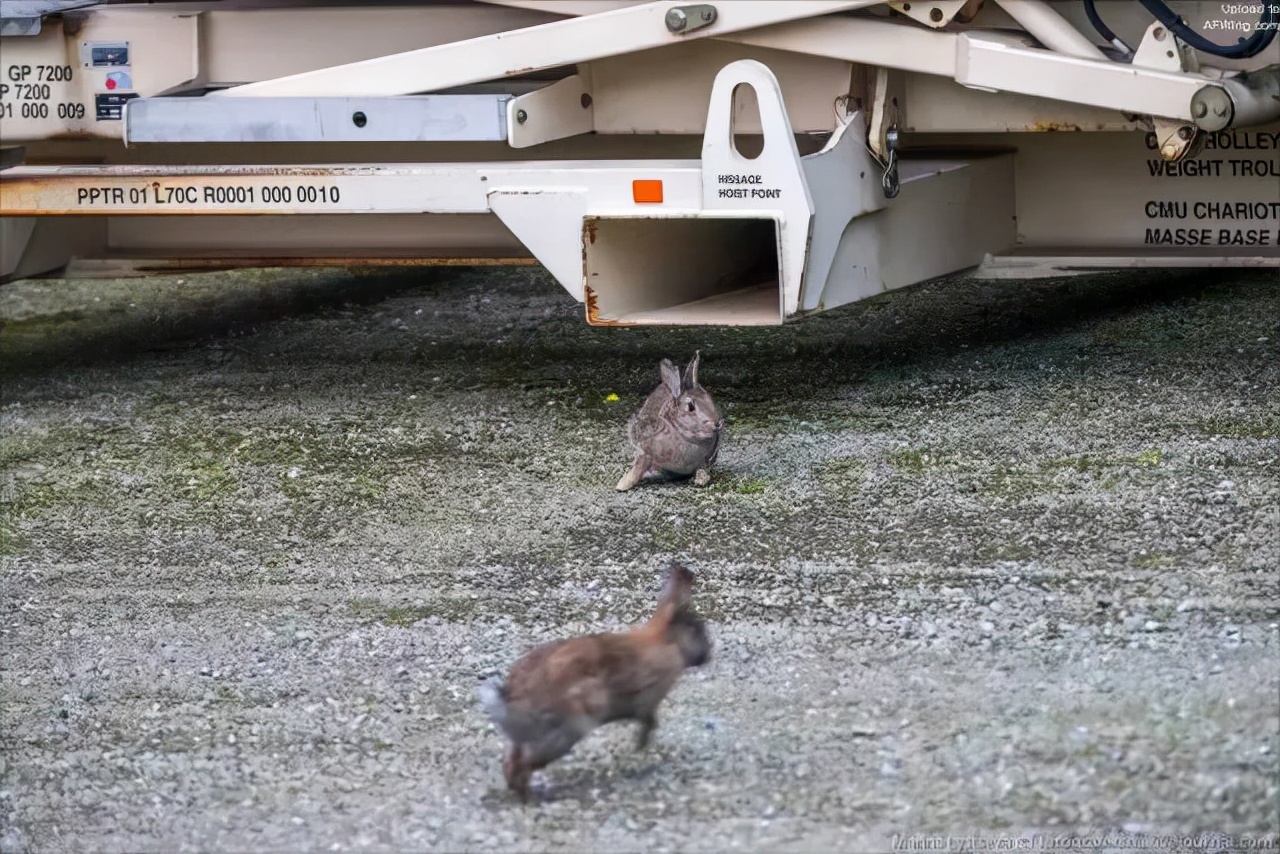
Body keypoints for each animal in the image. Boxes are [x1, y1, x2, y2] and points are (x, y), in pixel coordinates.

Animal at [481, 568, 716, 804]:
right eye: (697, 630)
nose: (707, 656)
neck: (666, 642)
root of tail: (509, 701)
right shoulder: (648, 699)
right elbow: (649, 720)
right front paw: (641, 746)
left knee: (512, 760)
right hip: (567, 729)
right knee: (523, 764)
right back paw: (531, 797)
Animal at [616, 350, 727, 491]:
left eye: (710, 399)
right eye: (690, 406)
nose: (717, 423)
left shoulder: (704, 461)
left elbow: (701, 469)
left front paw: (701, 480)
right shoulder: (646, 452)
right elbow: (639, 467)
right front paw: (622, 485)